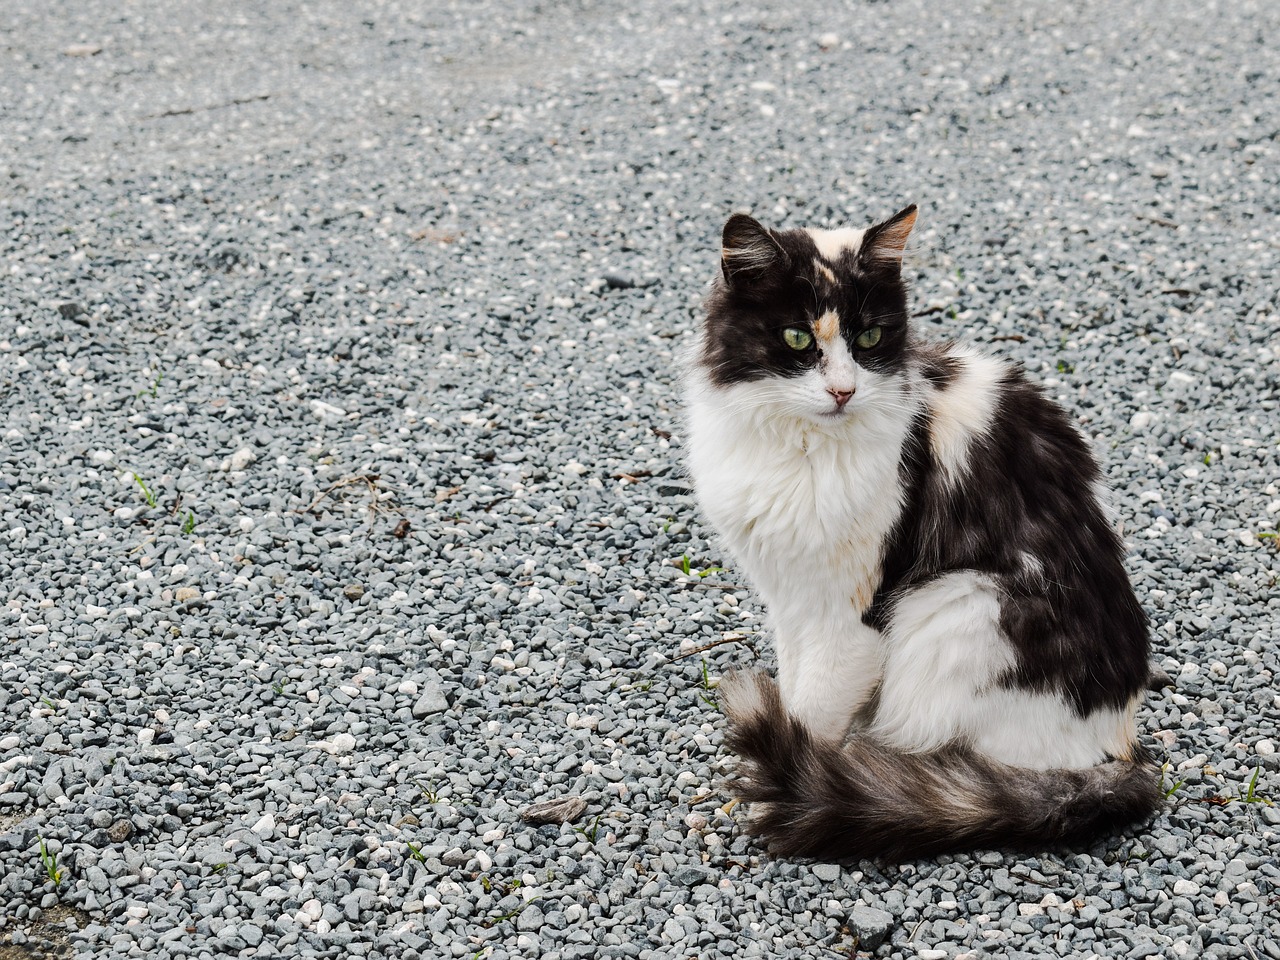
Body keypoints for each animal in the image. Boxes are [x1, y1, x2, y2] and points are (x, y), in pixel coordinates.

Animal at [686, 204, 1167, 865]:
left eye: (868, 340)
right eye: (797, 339)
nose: (842, 391)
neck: (799, 444)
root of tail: (1122, 751)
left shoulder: (849, 620)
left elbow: (809, 716)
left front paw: (787, 781)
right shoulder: (792, 600)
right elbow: (791, 690)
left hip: (956, 604)